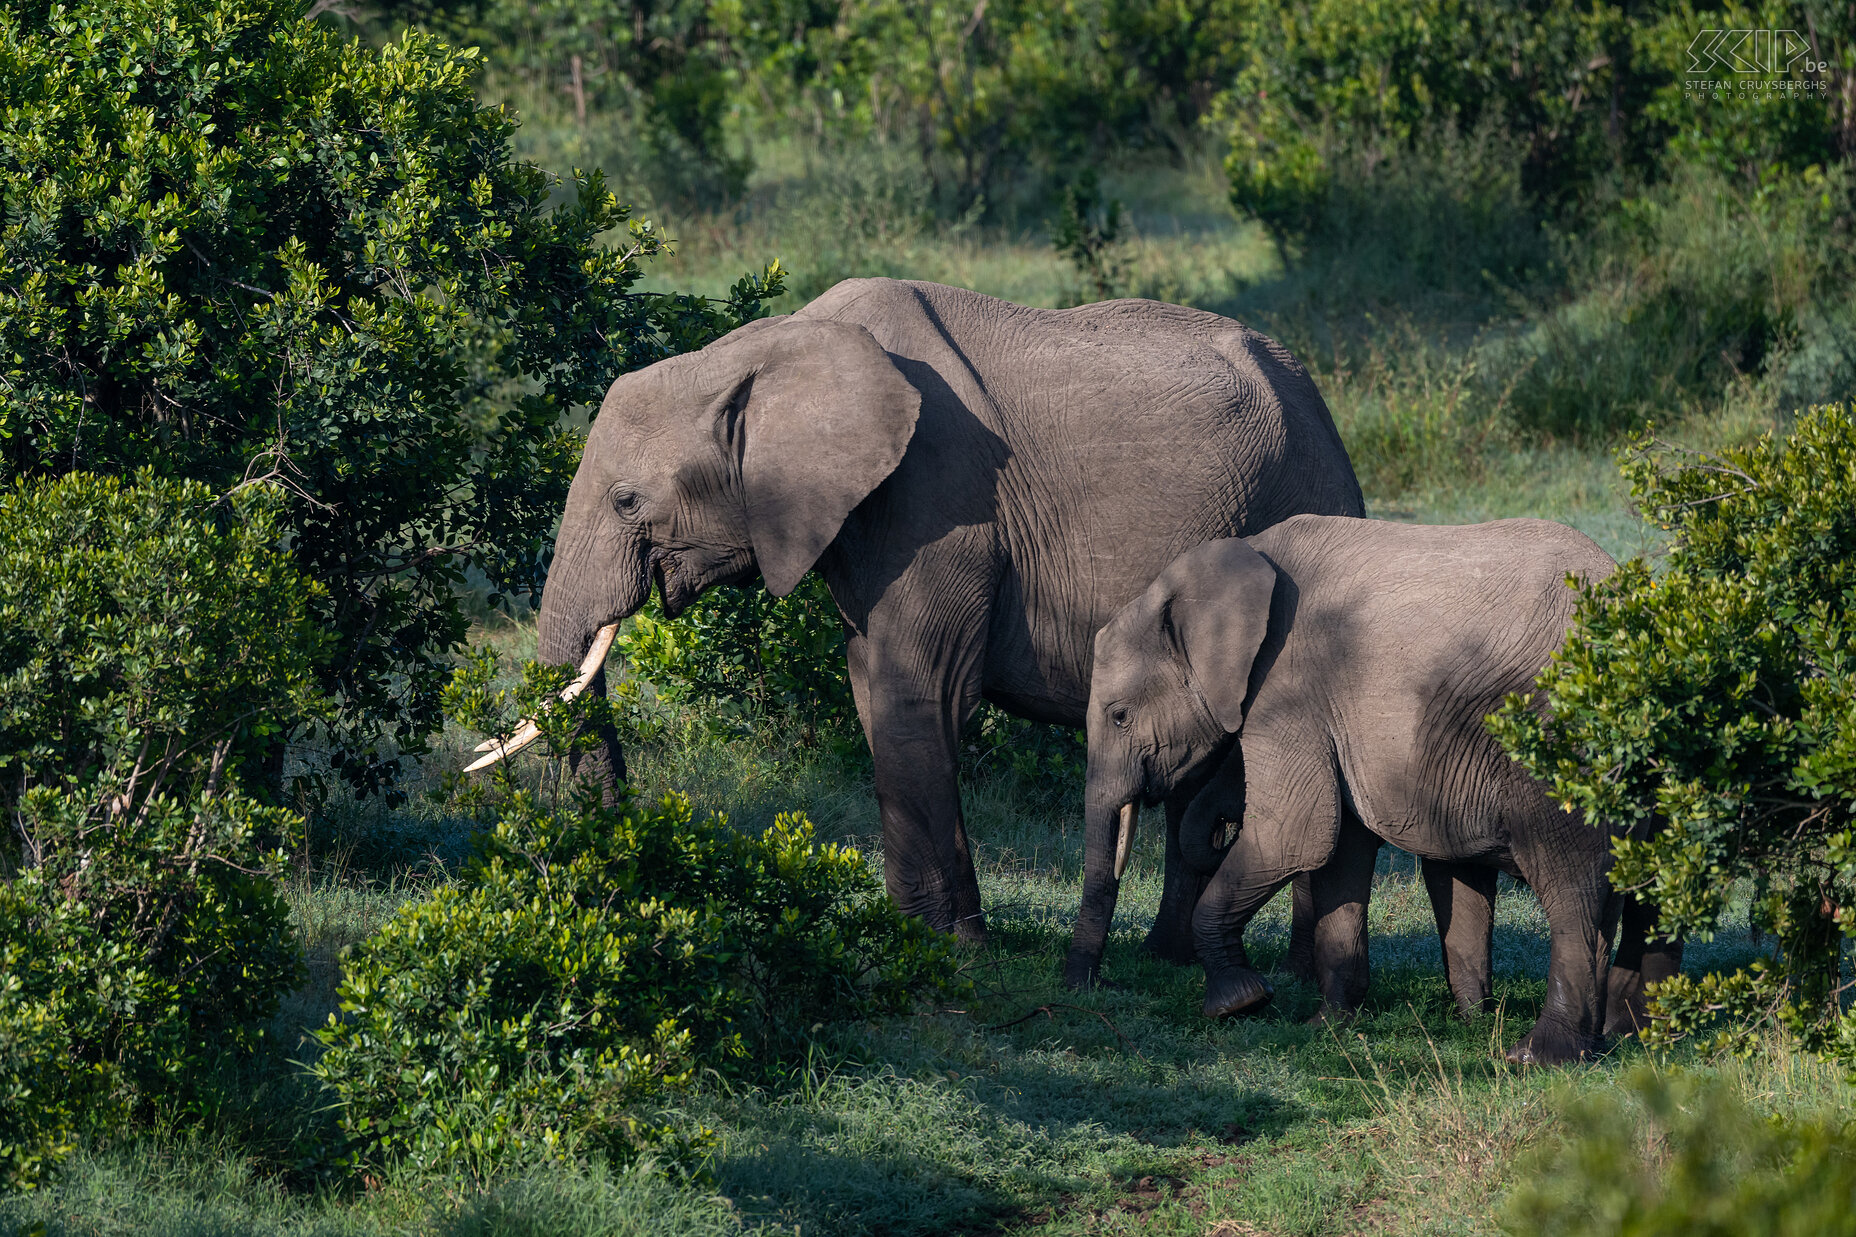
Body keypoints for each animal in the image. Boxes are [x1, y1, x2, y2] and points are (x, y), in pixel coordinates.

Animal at [515, 274, 1358, 939]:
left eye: (627, 501)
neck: (769, 347)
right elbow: (872, 688)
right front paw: (931, 936)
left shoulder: (938, 497)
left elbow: (915, 693)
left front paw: (939, 945)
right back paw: (1166, 962)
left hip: (1303, 496)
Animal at [1069, 508, 1618, 1062]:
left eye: (1119, 716)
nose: (1098, 986)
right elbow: (1340, 852)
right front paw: (1326, 1026)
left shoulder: (1287, 686)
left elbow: (1295, 835)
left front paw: (1238, 1003)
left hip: (1563, 742)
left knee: (1569, 885)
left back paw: (1539, 1056)